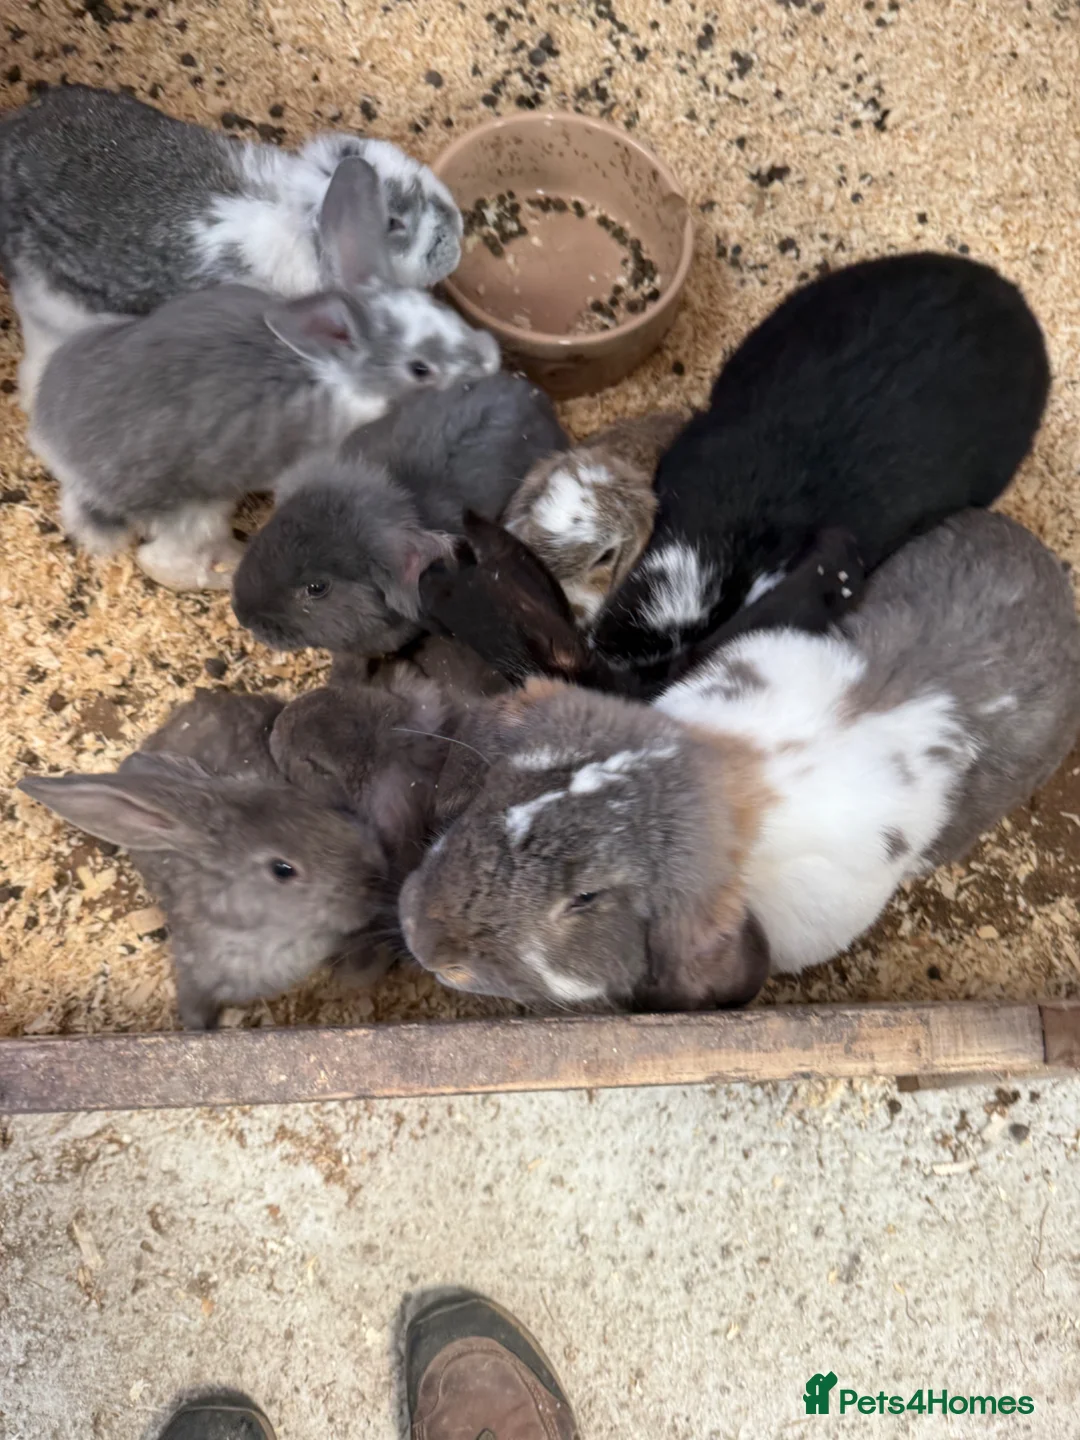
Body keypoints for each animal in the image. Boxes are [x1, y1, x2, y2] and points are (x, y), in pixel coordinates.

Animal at [28, 157, 500, 591]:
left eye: (441, 311)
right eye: (420, 369)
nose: (491, 358)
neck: (346, 377)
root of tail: (53, 446)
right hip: (195, 508)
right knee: (162, 561)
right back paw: (227, 567)